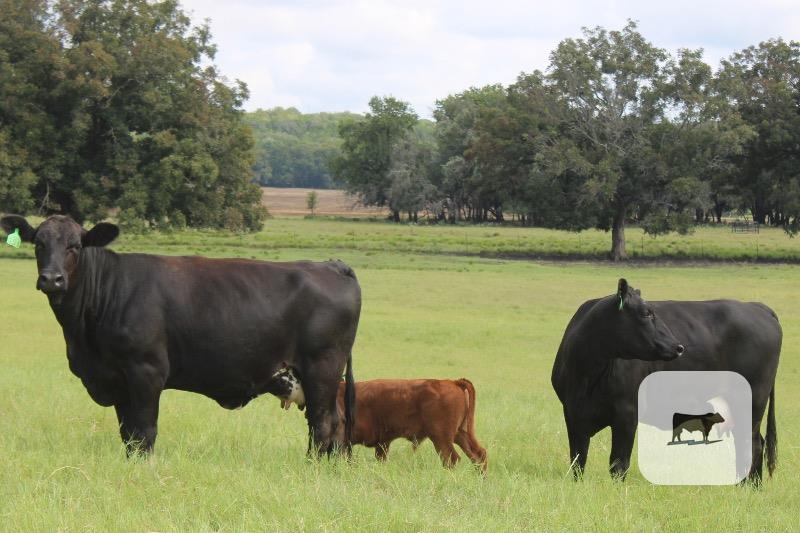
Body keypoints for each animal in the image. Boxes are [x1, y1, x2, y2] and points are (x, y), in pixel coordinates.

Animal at [1, 215, 360, 457]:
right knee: (334, 423)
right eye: (39, 244)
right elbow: (126, 433)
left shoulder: (146, 371)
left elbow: (143, 432)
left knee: (323, 423)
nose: (52, 279)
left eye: (75, 246)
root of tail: (331, 265)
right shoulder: (118, 380)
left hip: (322, 368)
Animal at [334, 378, 488, 472]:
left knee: (451, 459)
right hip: (459, 434)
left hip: (441, 438)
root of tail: (452, 382)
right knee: (478, 454)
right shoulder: (382, 444)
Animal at [551, 279, 780, 484]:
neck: (588, 376)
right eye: (646, 313)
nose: (679, 347)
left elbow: (618, 463)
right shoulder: (573, 414)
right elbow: (578, 461)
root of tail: (756, 306)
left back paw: (748, 487)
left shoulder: (627, 413)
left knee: (752, 444)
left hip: (751, 402)